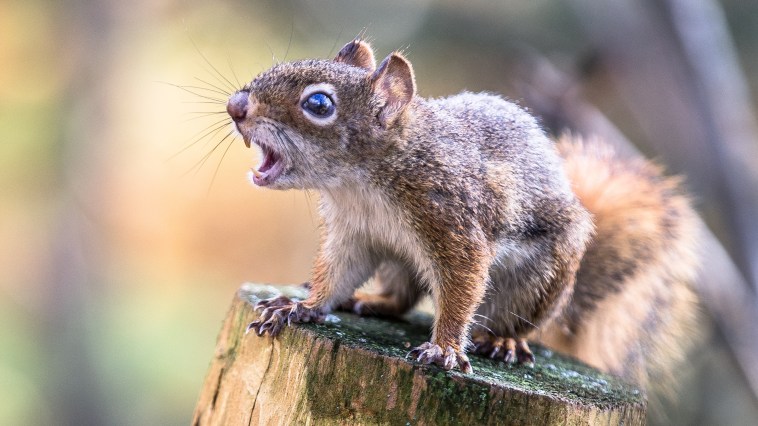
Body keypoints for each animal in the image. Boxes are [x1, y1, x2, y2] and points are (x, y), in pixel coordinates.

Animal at [230, 39, 700, 388]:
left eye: (319, 105)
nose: (236, 106)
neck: (360, 183)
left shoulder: (453, 221)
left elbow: (461, 288)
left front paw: (444, 348)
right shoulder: (354, 233)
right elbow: (337, 273)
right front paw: (301, 307)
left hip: (537, 282)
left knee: (515, 321)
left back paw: (504, 341)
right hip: (399, 262)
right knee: (402, 298)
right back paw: (368, 300)